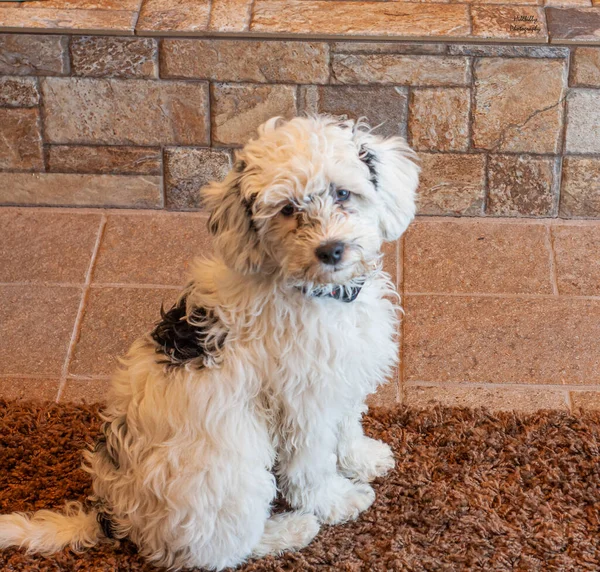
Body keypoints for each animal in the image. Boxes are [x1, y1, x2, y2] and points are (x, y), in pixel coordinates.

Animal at [0, 114, 418, 568]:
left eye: (343, 192)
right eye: (288, 209)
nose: (332, 250)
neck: (316, 292)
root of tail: (114, 516)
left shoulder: (341, 379)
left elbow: (347, 427)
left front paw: (364, 458)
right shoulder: (303, 404)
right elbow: (311, 466)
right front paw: (338, 502)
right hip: (234, 473)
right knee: (218, 551)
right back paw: (292, 529)